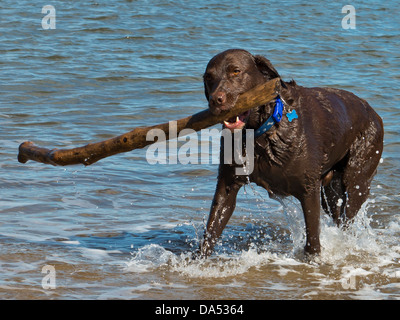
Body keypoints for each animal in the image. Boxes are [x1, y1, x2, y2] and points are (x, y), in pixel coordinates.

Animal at [200, 48, 384, 258]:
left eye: (236, 71)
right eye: (208, 77)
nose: (216, 99)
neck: (263, 132)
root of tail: (373, 112)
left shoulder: (309, 189)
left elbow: (313, 239)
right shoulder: (227, 184)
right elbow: (212, 228)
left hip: (357, 179)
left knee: (349, 214)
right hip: (330, 191)